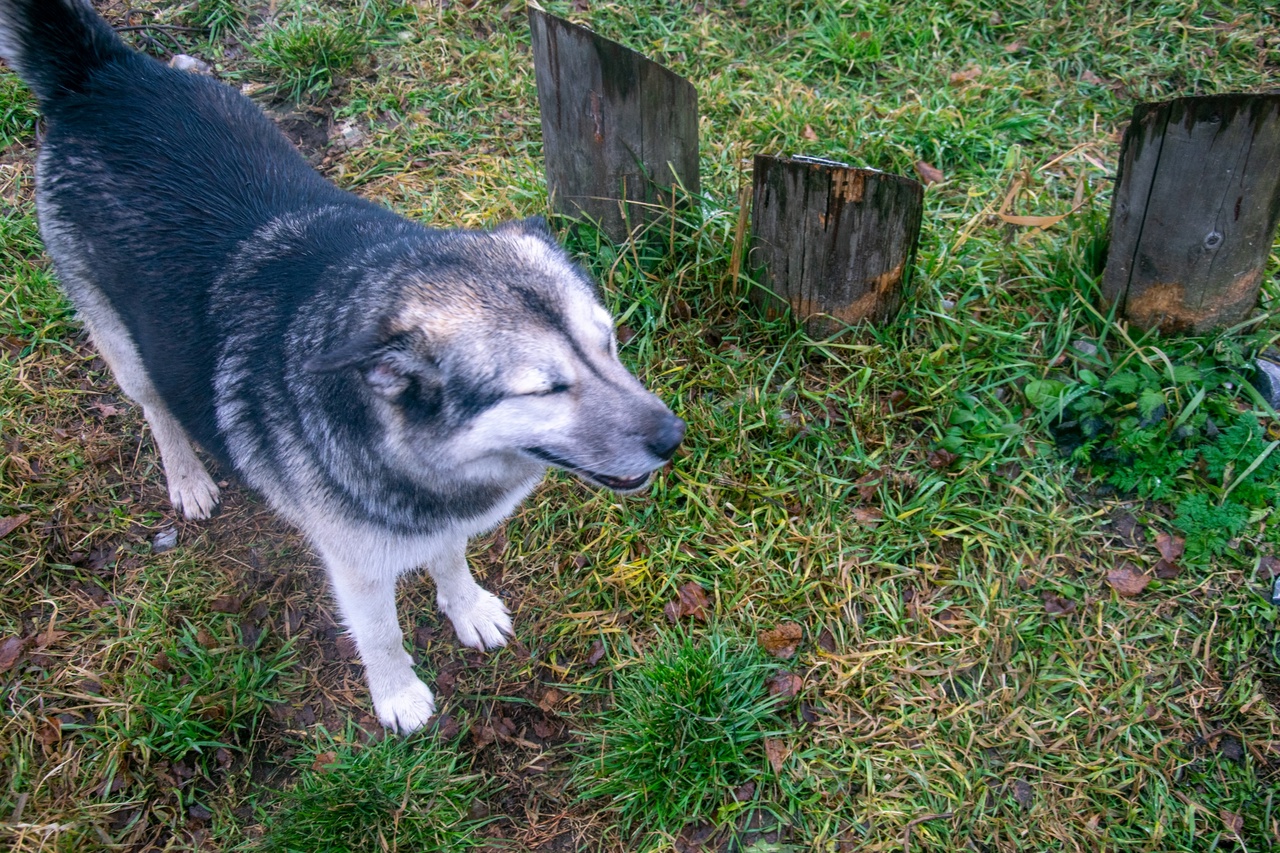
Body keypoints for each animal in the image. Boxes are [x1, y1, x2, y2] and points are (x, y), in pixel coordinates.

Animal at [0, 1, 680, 732]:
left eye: (608, 344)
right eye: (548, 388)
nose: (675, 438)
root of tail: (103, 69)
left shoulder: (434, 516)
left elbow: (450, 557)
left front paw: (465, 607)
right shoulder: (356, 565)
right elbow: (380, 633)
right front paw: (398, 695)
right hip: (122, 344)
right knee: (156, 406)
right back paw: (186, 476)